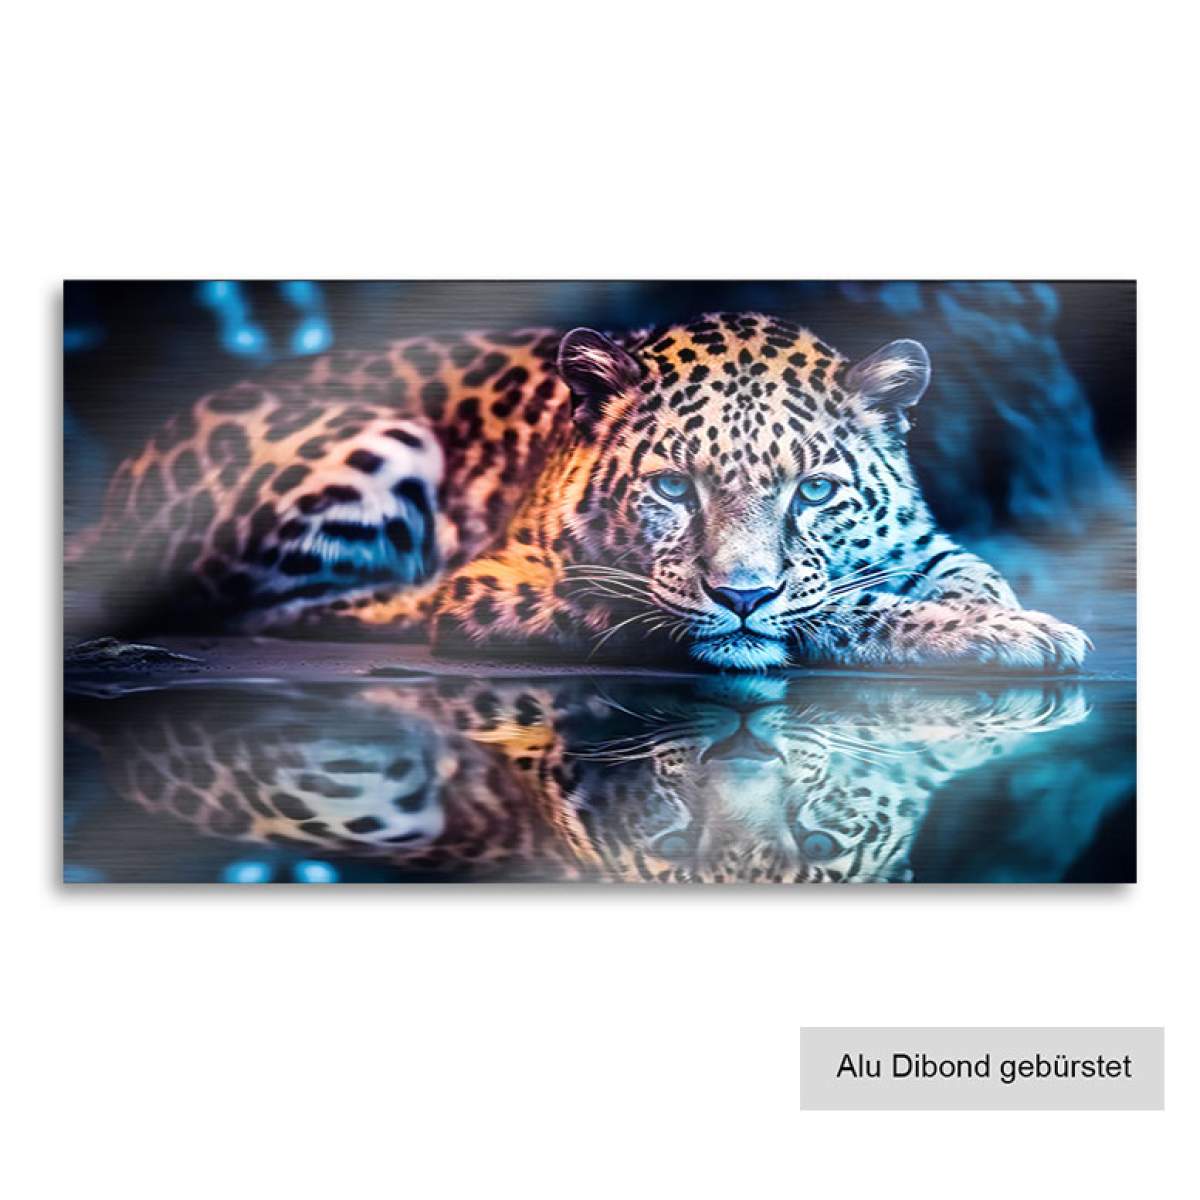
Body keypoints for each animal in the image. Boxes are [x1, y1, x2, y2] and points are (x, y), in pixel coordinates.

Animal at [67, 312, 1091, 672]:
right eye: (673, 486)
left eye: (813, 492)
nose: (743, 595)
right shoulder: (522, 585)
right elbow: (840, 607)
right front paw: (1008, 635)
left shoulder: (924, 541)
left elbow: (958, 572)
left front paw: (995, 612)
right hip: (379, 441)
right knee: (270, 610)